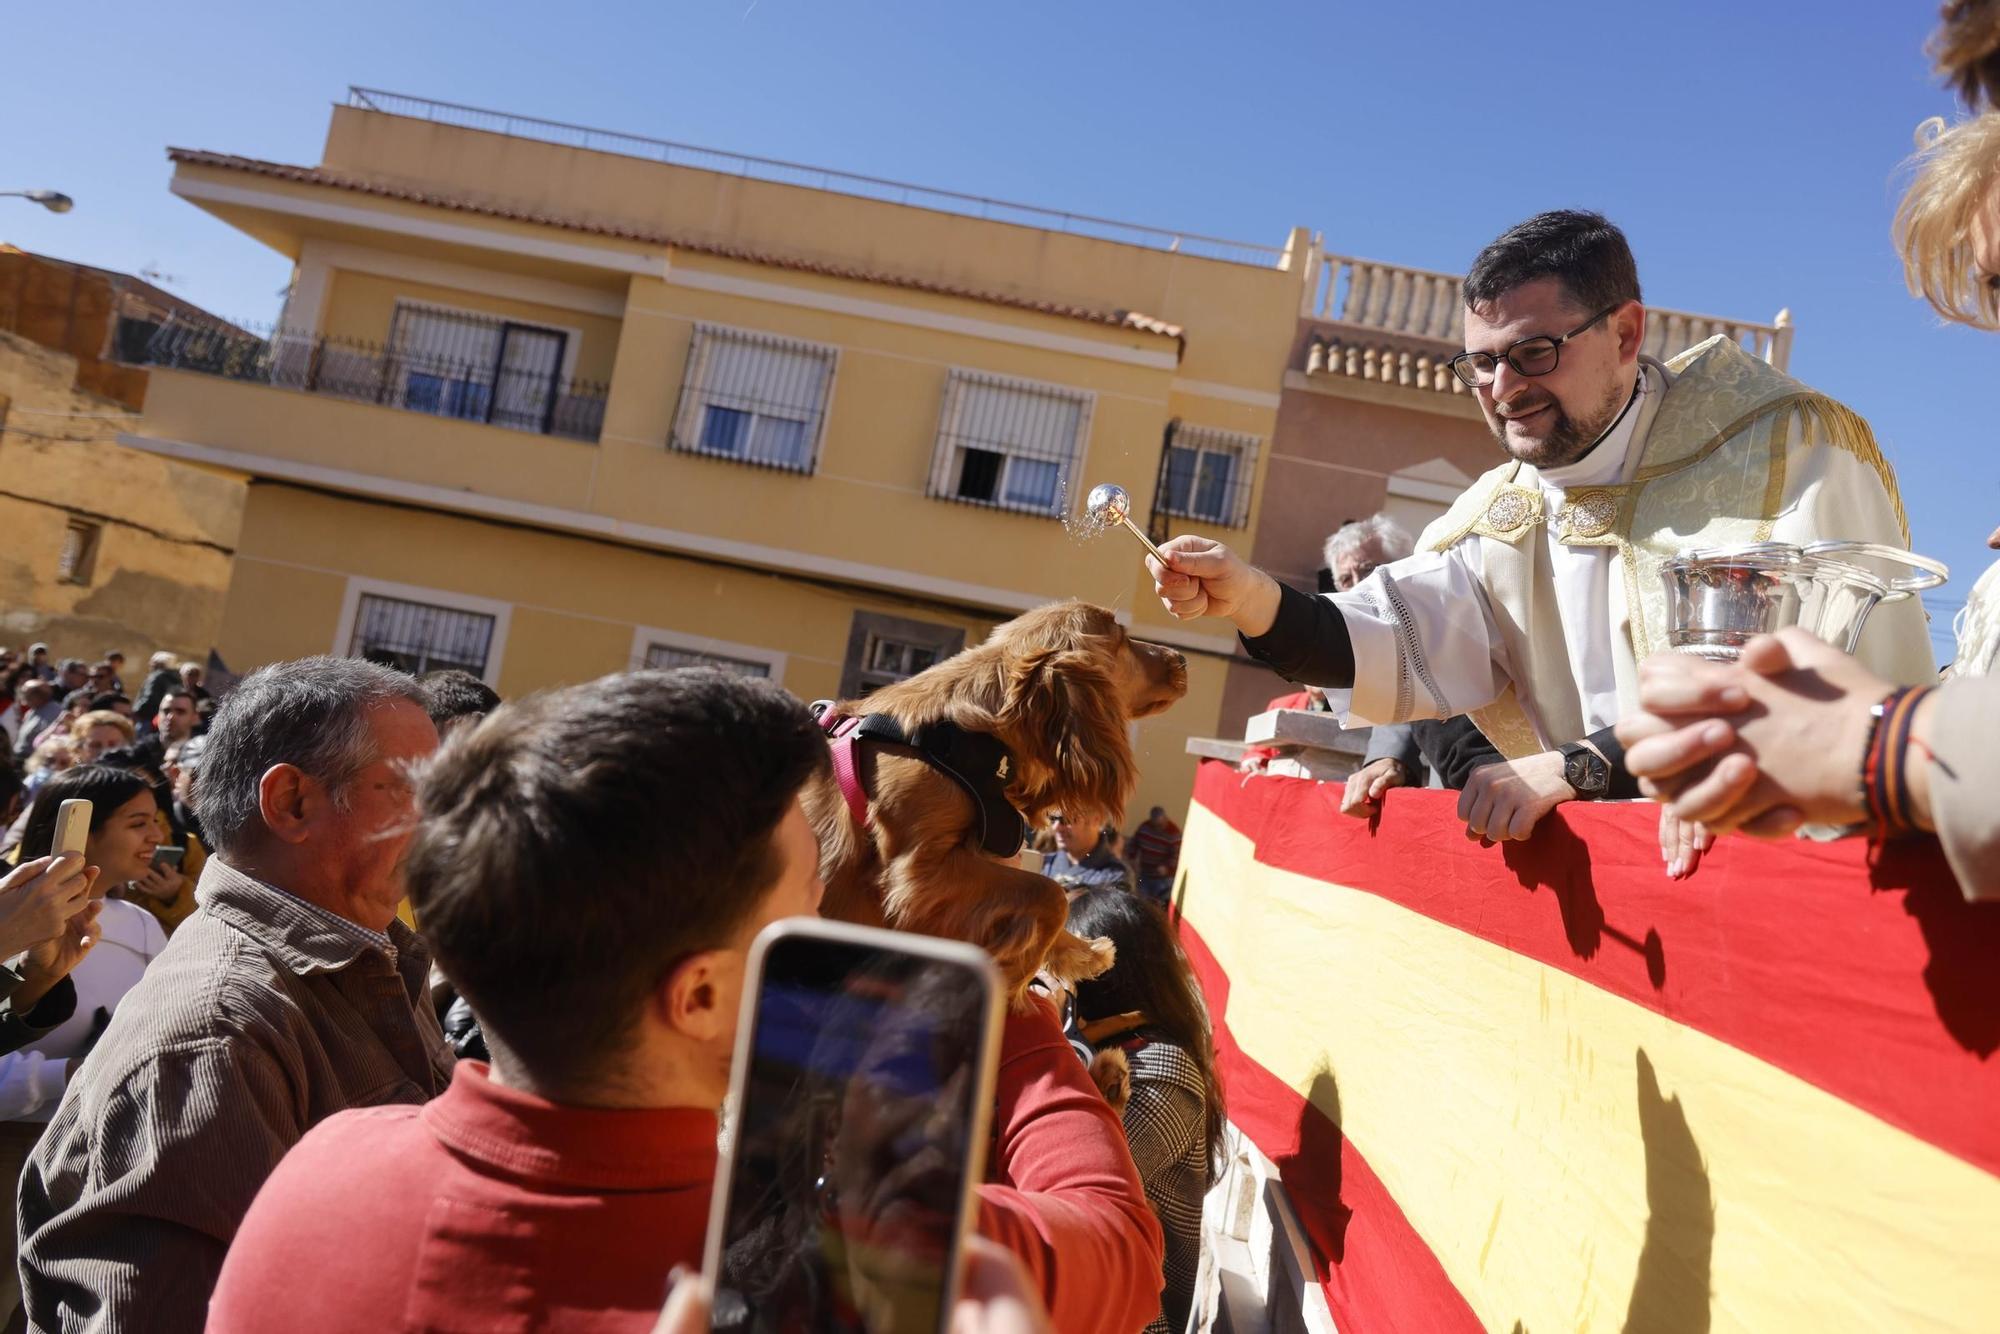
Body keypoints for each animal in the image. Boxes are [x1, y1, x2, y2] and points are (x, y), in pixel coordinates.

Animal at [808, 604, 1184, 1000]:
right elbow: (1052, 893)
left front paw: (1082, 953)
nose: (1182, 659)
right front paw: (1015, 976)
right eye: (1121, 639)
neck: (963, 735)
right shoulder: (918, 878)